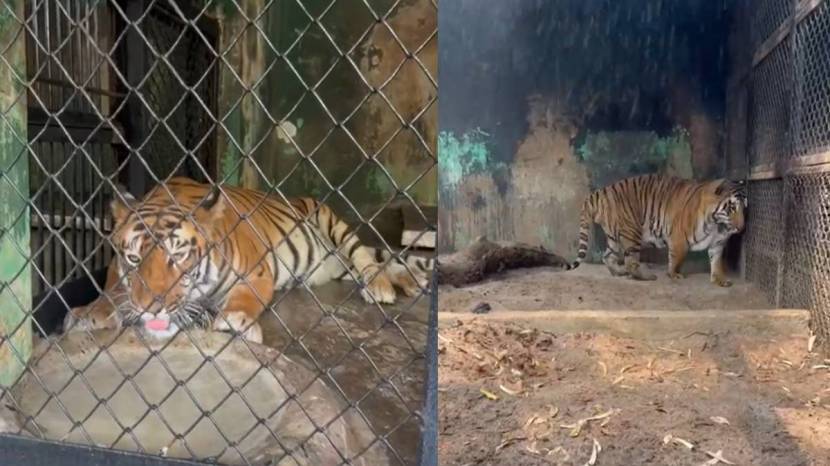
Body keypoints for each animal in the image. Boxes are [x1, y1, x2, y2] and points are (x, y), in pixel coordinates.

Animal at [63, 177, 436, 344]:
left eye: (178, 256)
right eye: (133, 258)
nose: (152, 309)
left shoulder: (257, 272)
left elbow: (245, 298)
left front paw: (235, 320)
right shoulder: (115, 267)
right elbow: (111, 288)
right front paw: (90, 313)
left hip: (332, 223)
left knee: (366, 257)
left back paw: (381, 287)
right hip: (335, 266)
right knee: (383, 262)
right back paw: (410, 281)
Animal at [568, 173, 752, 286]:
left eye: (744, 208)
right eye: (732, 208)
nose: (741, 228)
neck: (716, 223)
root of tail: (601, 191)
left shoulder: (717, 244)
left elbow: (717, 263)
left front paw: (720, 280)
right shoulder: (679, 239)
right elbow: (676, 259)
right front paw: (674, 274)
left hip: (614, 236)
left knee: (608, 257)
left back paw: (618, 273)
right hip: (632, 231)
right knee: (631, 261)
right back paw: (645, 277)